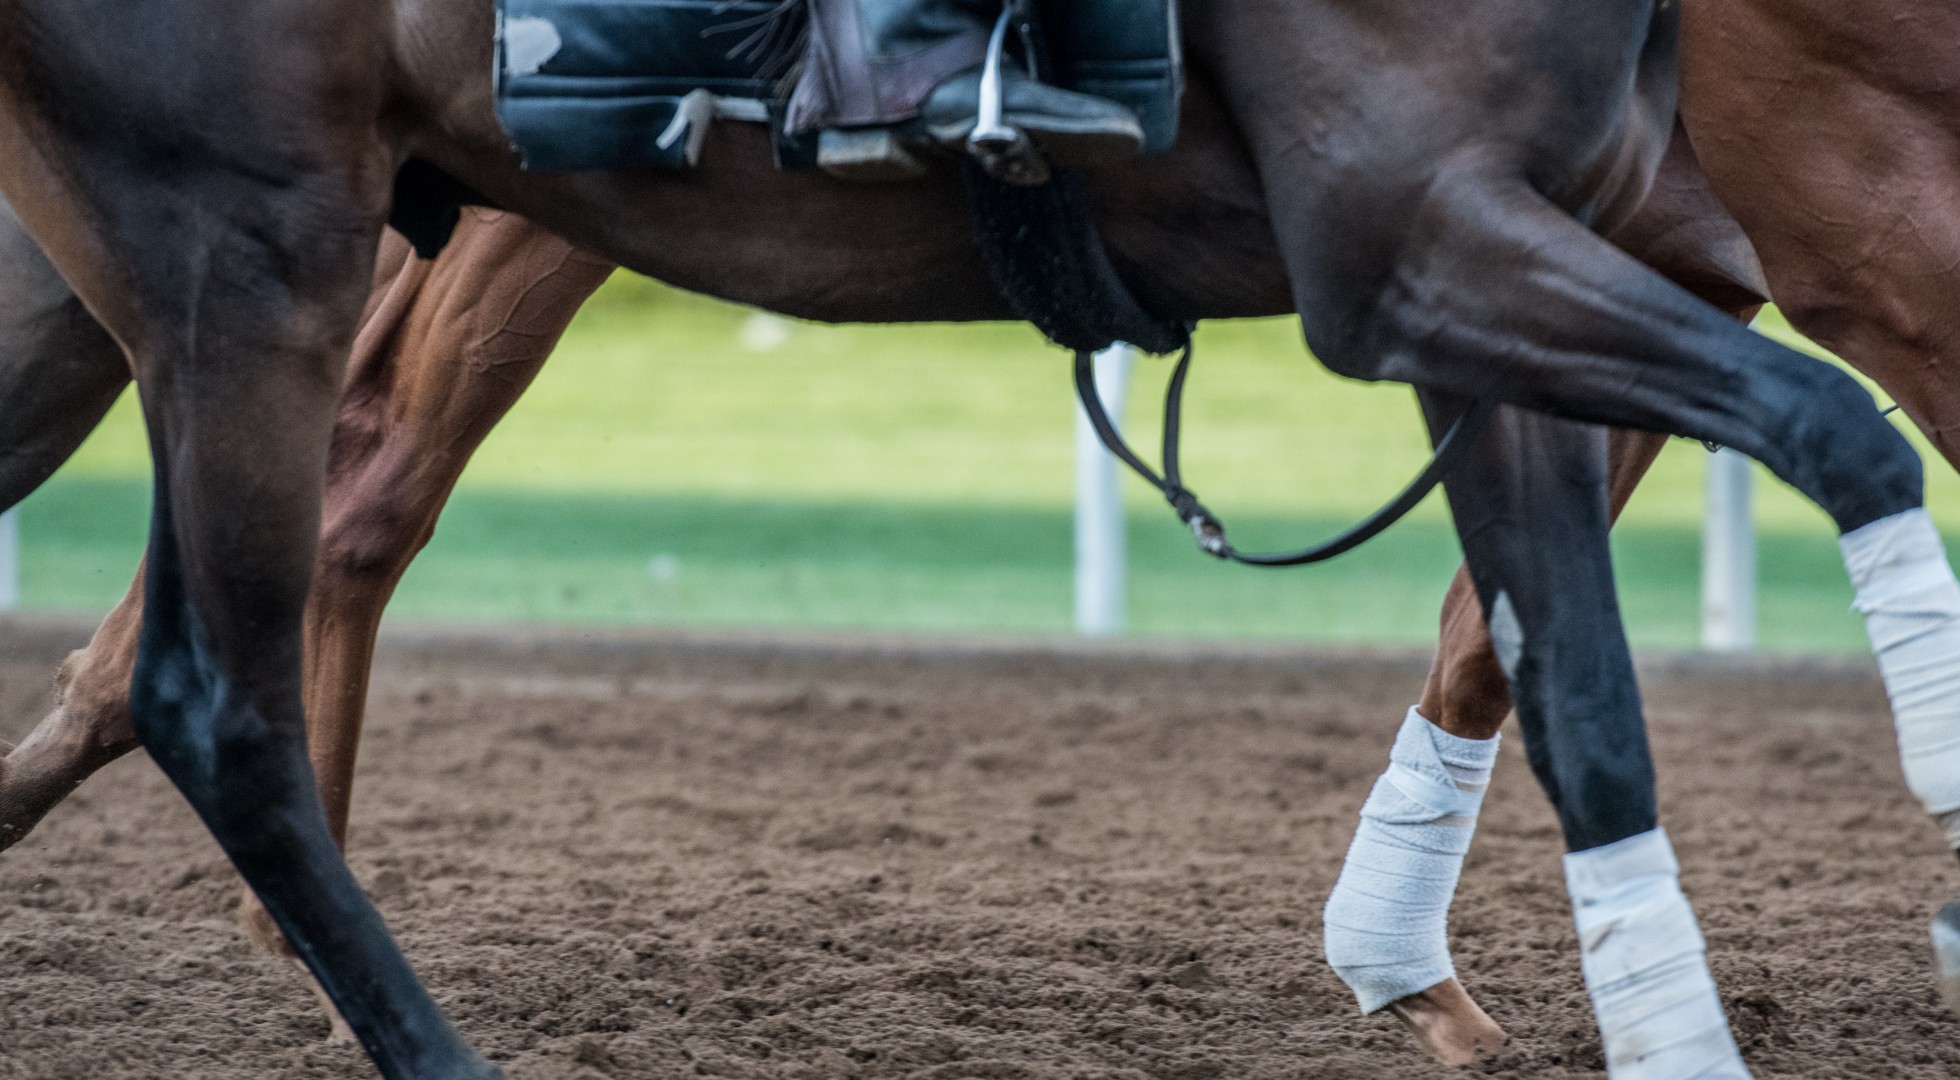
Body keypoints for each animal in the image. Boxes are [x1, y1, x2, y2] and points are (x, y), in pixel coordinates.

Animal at [0, 0, 1944, 1075]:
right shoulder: (1744, 229)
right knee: (319, 539)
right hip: (306, 226)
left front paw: (1415, 972)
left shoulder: (1561, 249)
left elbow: (1537, 651)